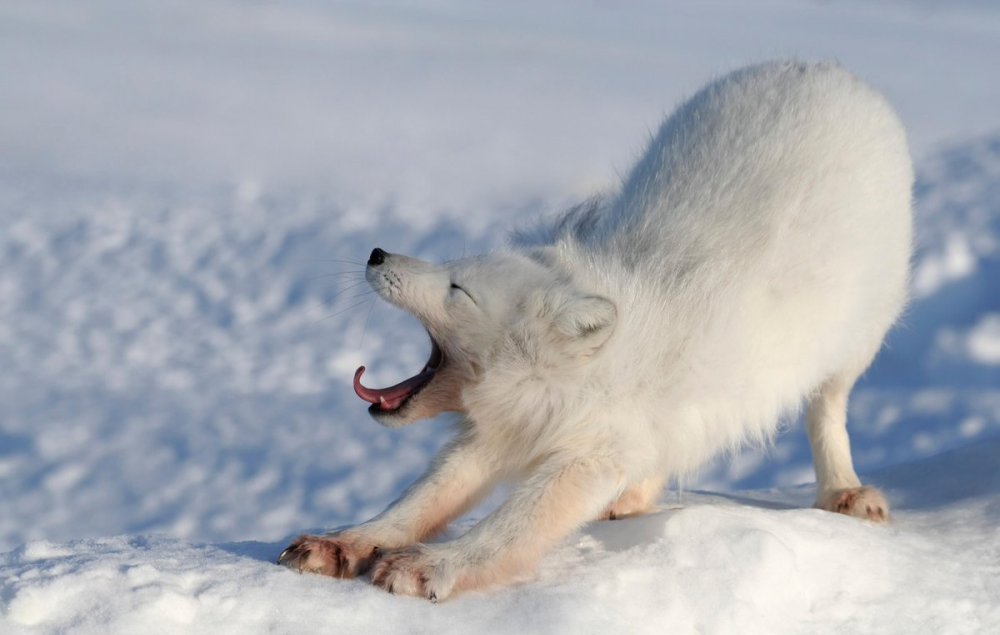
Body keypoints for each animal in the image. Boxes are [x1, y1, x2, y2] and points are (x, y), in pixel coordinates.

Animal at [278, 60, 912, 600]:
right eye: (450, 267)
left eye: (458, 289)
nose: (377, 253)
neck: (562, 382)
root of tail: (822, 67)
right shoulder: (499, 435)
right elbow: (419, 500)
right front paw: (345, 543)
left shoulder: (590, 455)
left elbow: (515, 525)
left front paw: (435, 565)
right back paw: (634, 501)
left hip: (853, 344)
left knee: (827, 409)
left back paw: (843, 491)